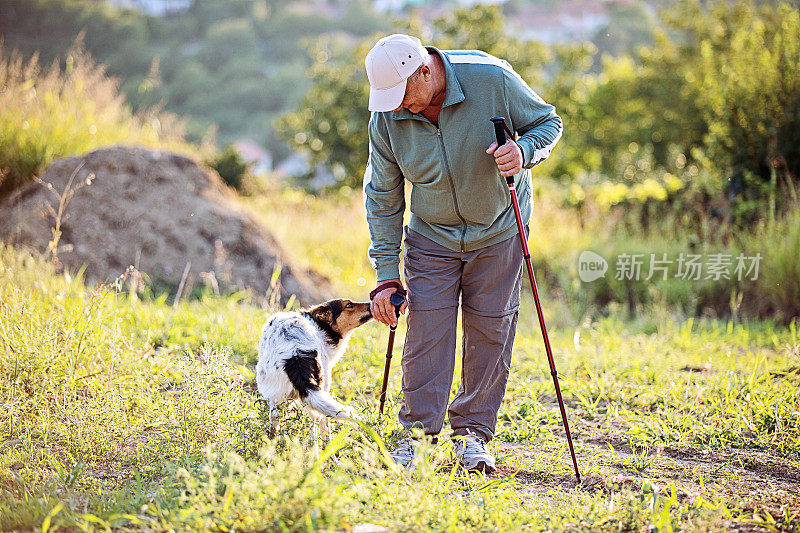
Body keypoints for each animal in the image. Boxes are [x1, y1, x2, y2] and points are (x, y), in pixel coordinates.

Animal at [255, 298, 374, 438]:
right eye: (349, 305)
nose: (372, 302)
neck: (320, 327)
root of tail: (294, 353)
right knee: (316, 425)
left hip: (273, 391)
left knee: (275, 417)